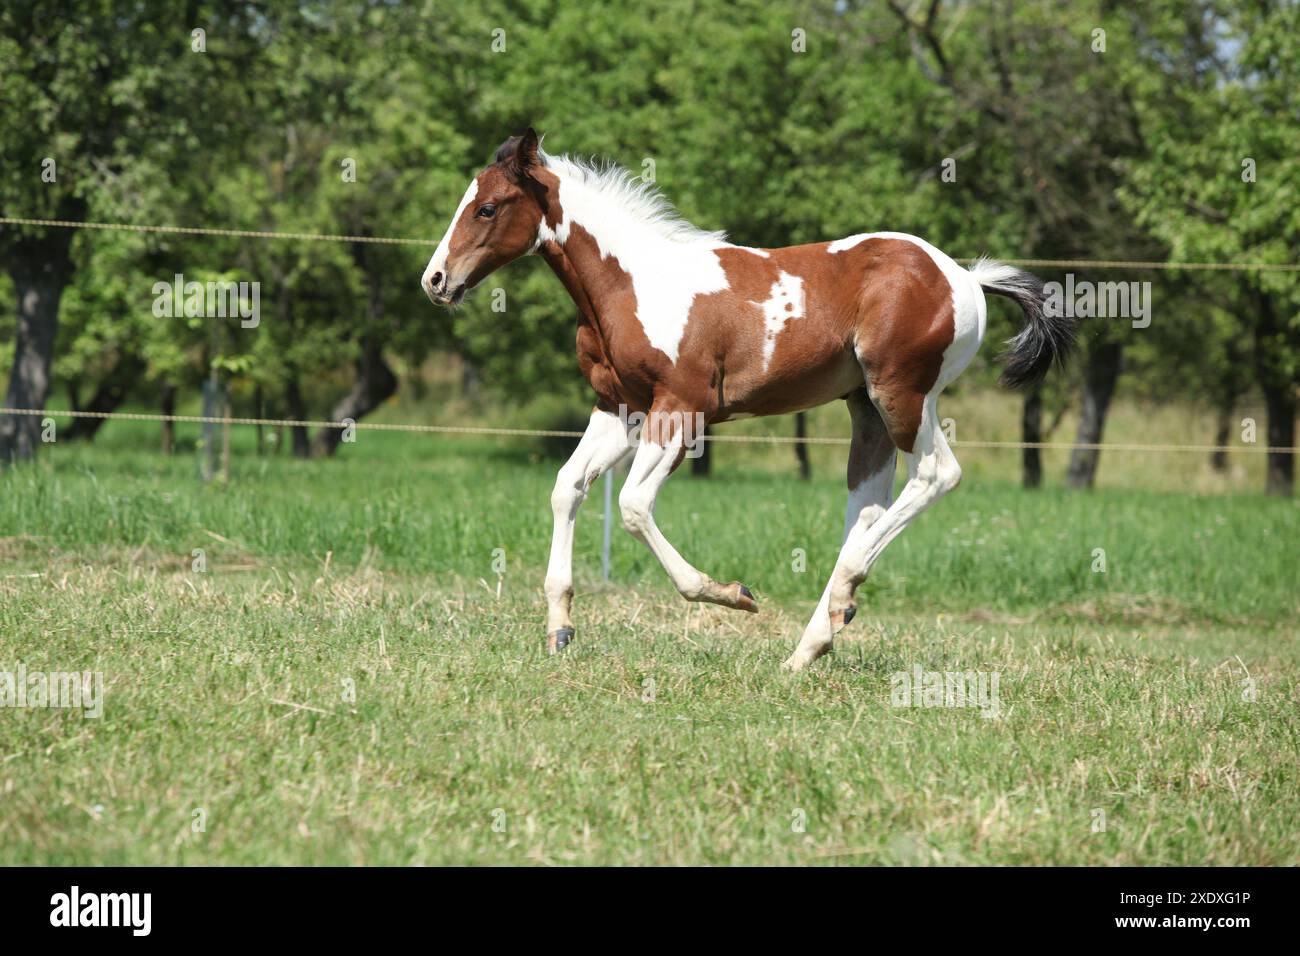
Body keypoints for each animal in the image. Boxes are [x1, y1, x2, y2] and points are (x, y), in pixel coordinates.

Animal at [421, 128, 1076, 670]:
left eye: (487, 207)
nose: (435, 281)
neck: (632, 283)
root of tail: (965, 277)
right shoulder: (620, 408)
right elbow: (567, 486)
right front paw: (560, 627)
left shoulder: (682, 408)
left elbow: (632, 505)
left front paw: (729, 594)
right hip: (865, 407)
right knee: (867, 507)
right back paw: (813, 641)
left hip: (903, 394)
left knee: (938, 474)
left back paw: (842, 594)